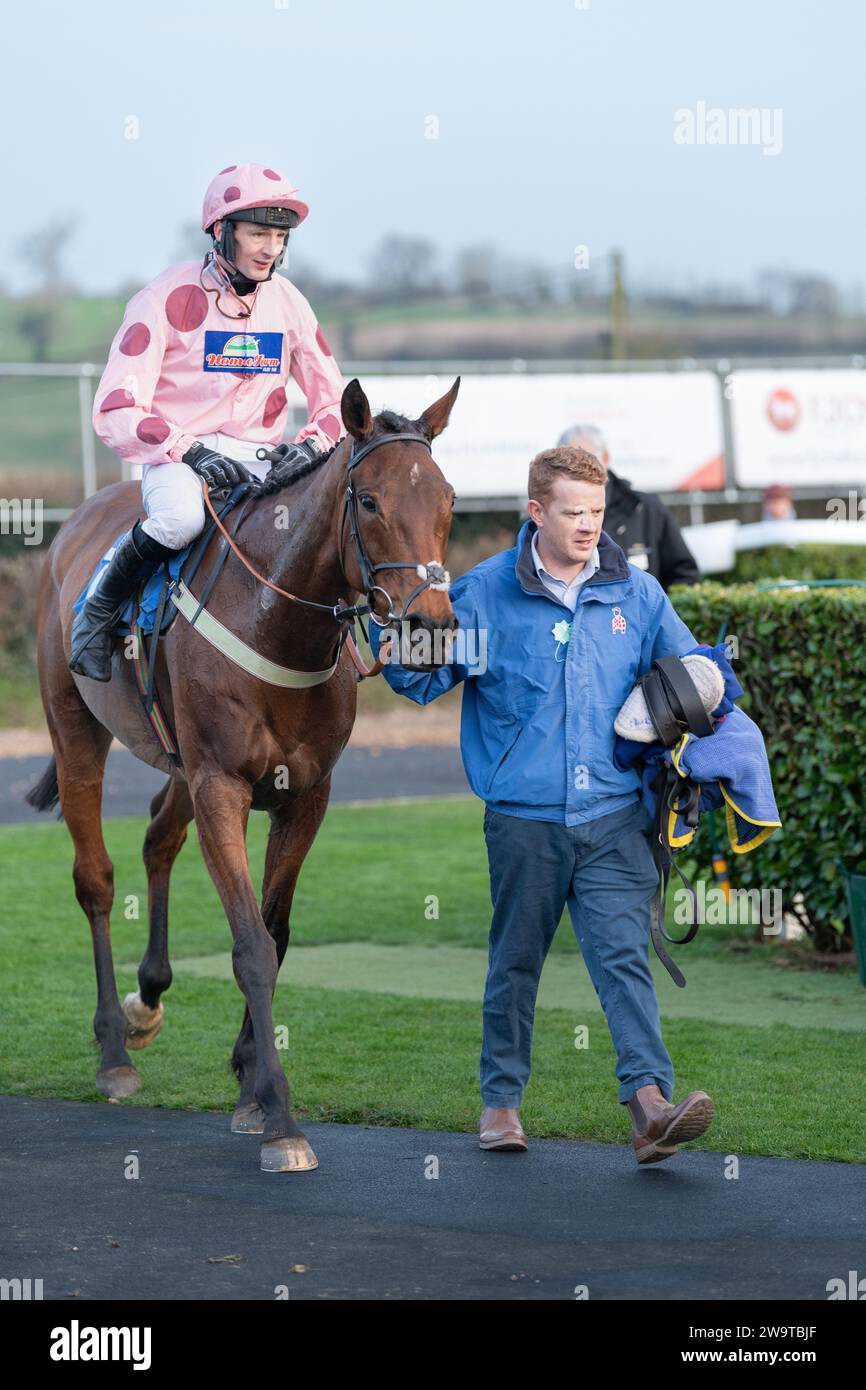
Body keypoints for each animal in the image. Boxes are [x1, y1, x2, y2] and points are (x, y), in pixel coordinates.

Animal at [25, 378, 461, 1173]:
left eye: (446, 498)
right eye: (370, 501)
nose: (431, 626)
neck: (276, 626)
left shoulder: (305, 795)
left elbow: (276, 933)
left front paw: (249, 1080)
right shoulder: (222, 787)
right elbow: (251, 947)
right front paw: (280, 1117)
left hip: (176, 758)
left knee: (158, 840)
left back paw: (147, 1000)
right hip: (77, 732)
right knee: (95, 879)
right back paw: (113, 1049)